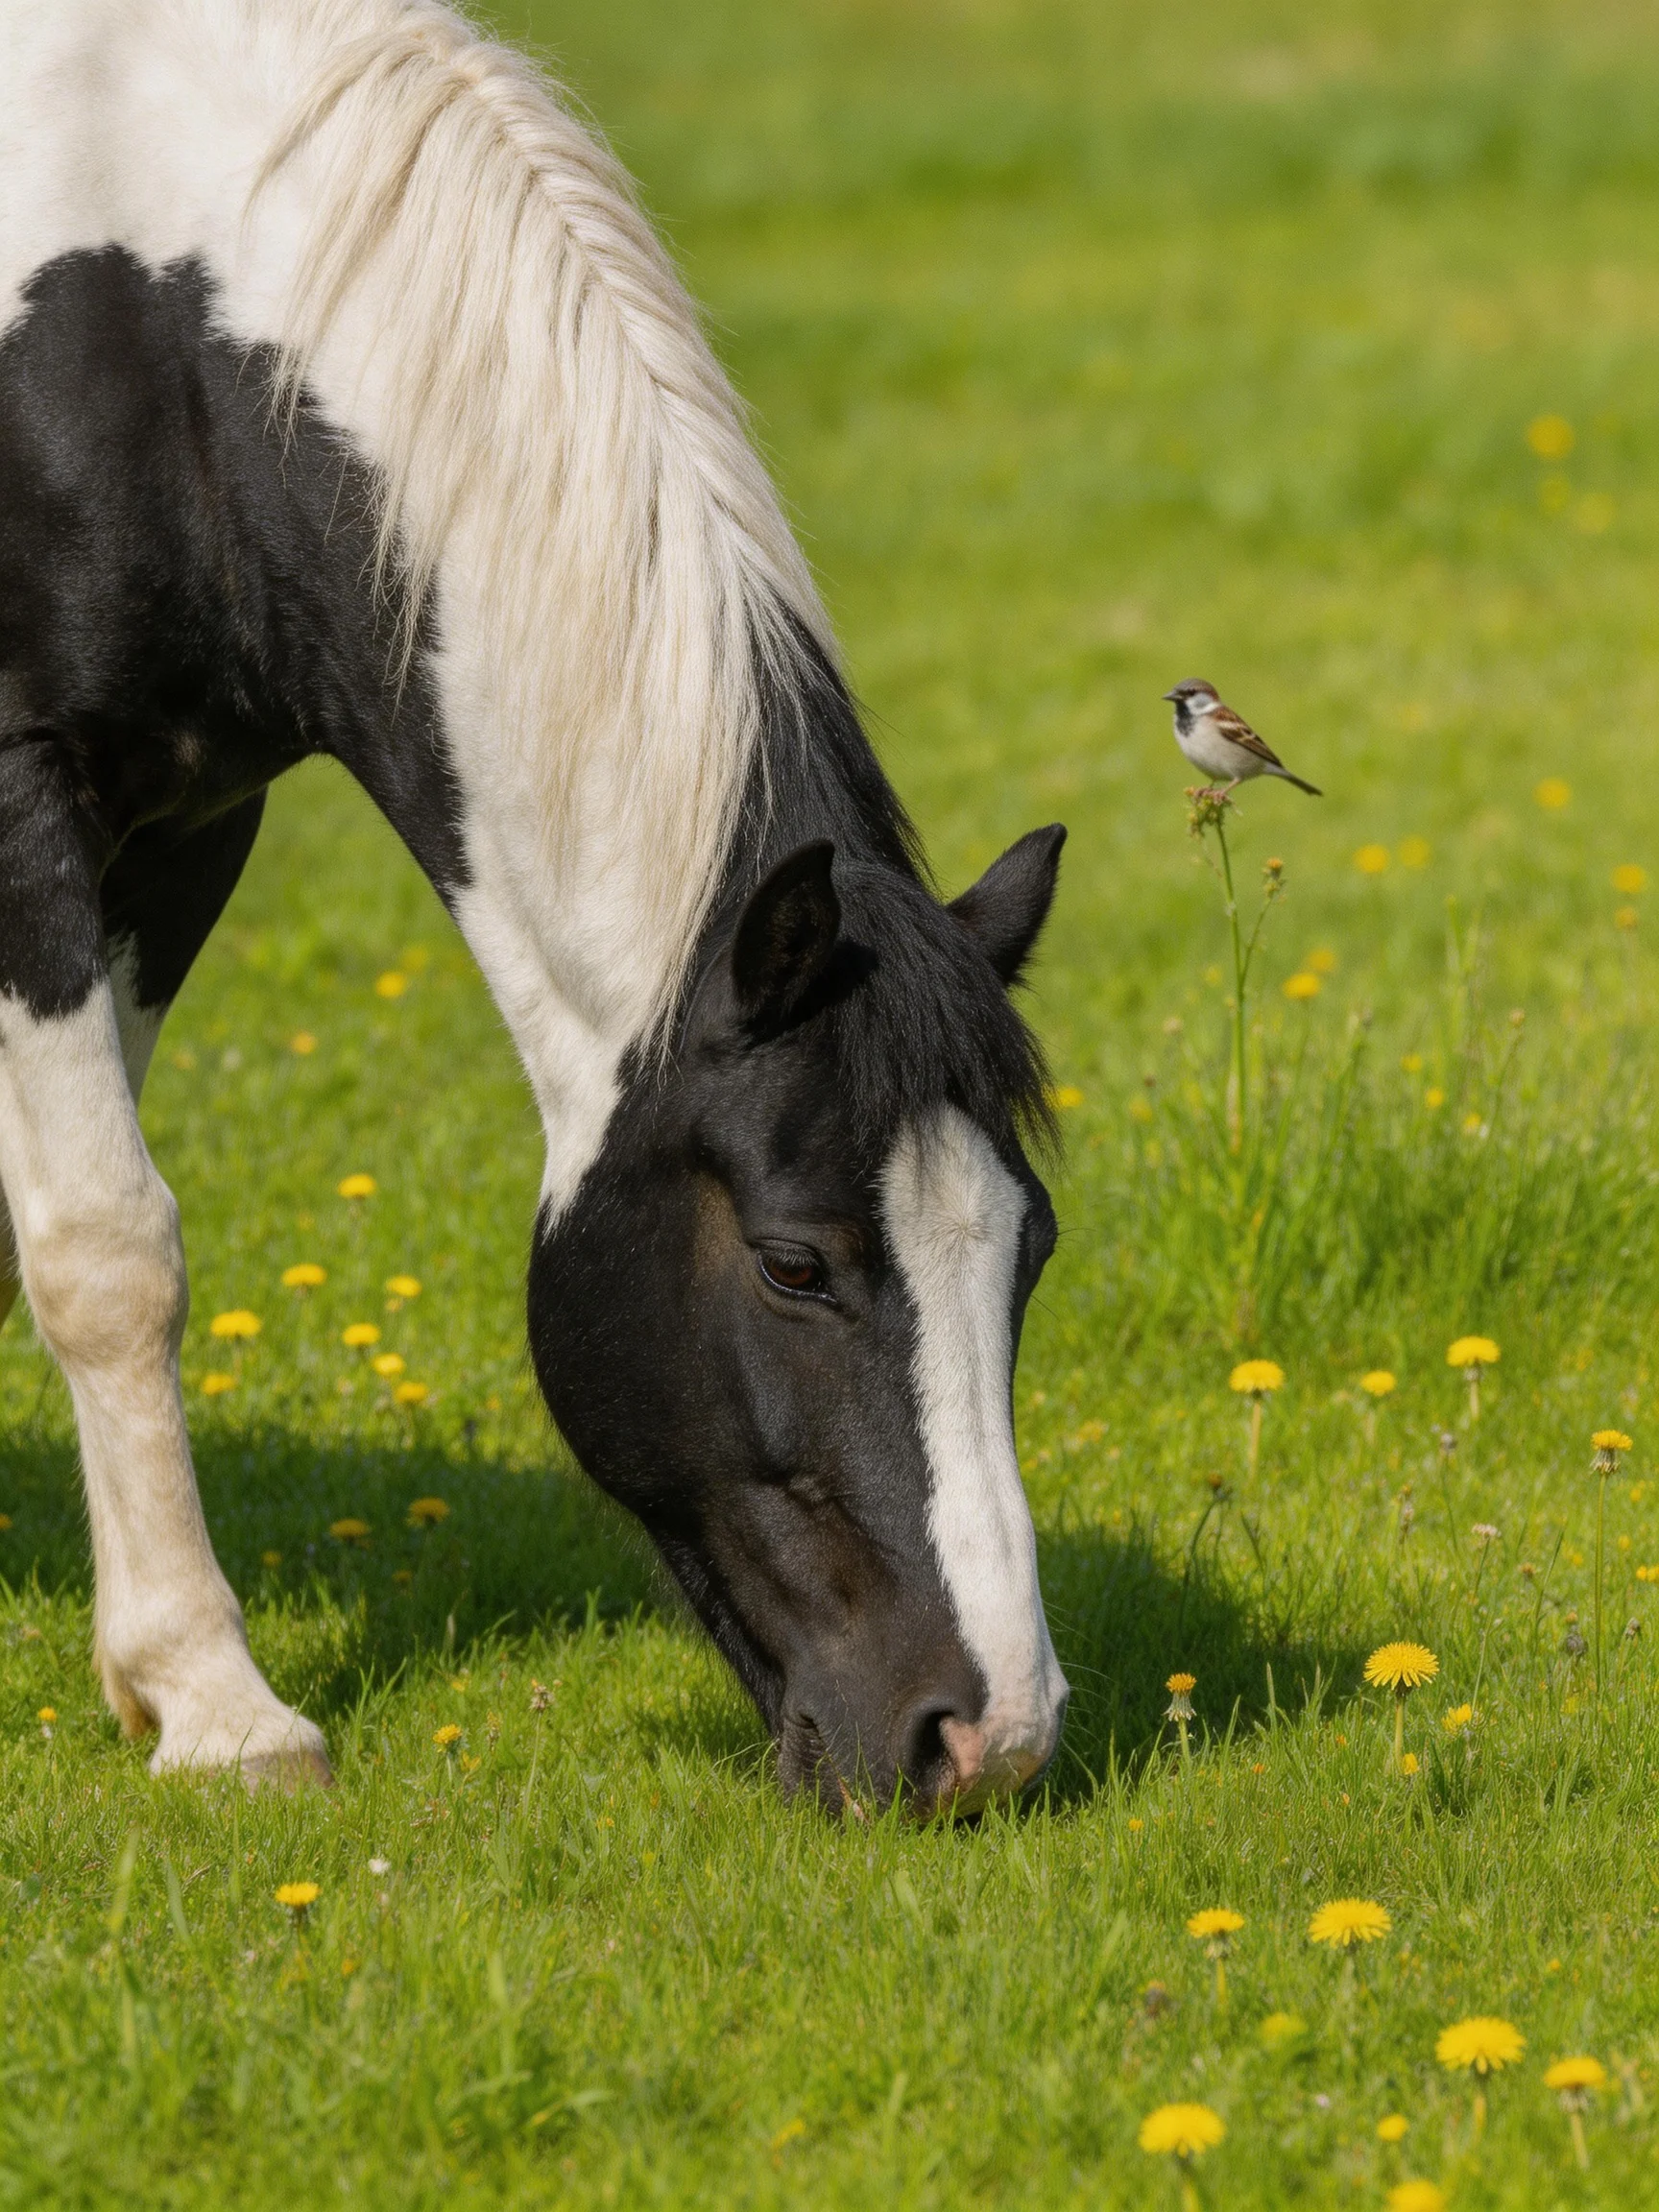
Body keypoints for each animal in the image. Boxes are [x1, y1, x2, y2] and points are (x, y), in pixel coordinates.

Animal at [0, 0, 1069, 1812]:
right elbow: (108, 1246)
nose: (986, 1740)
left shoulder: (180, 831)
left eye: (1029, 1243)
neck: (132, 314)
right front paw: (217, 1705)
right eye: (794, 1264)